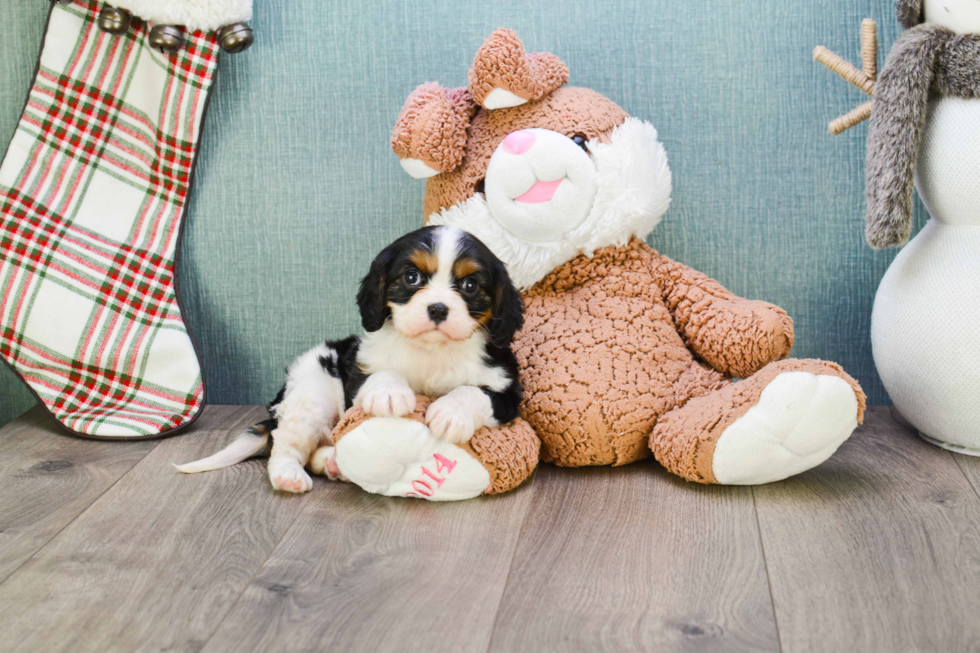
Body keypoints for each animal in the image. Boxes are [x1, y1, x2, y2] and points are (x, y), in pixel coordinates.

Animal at [176, 227, 528, 492]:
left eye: (469, 285)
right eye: (412, 278)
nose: (438, 309)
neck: (431, 350)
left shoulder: (507, 390)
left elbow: (473, 391)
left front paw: (451, 412)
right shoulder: (359, 369)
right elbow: (380, 375)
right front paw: (389, 394)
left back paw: (334, 463)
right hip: (311, 394)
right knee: (287, 445)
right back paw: (289, 475)